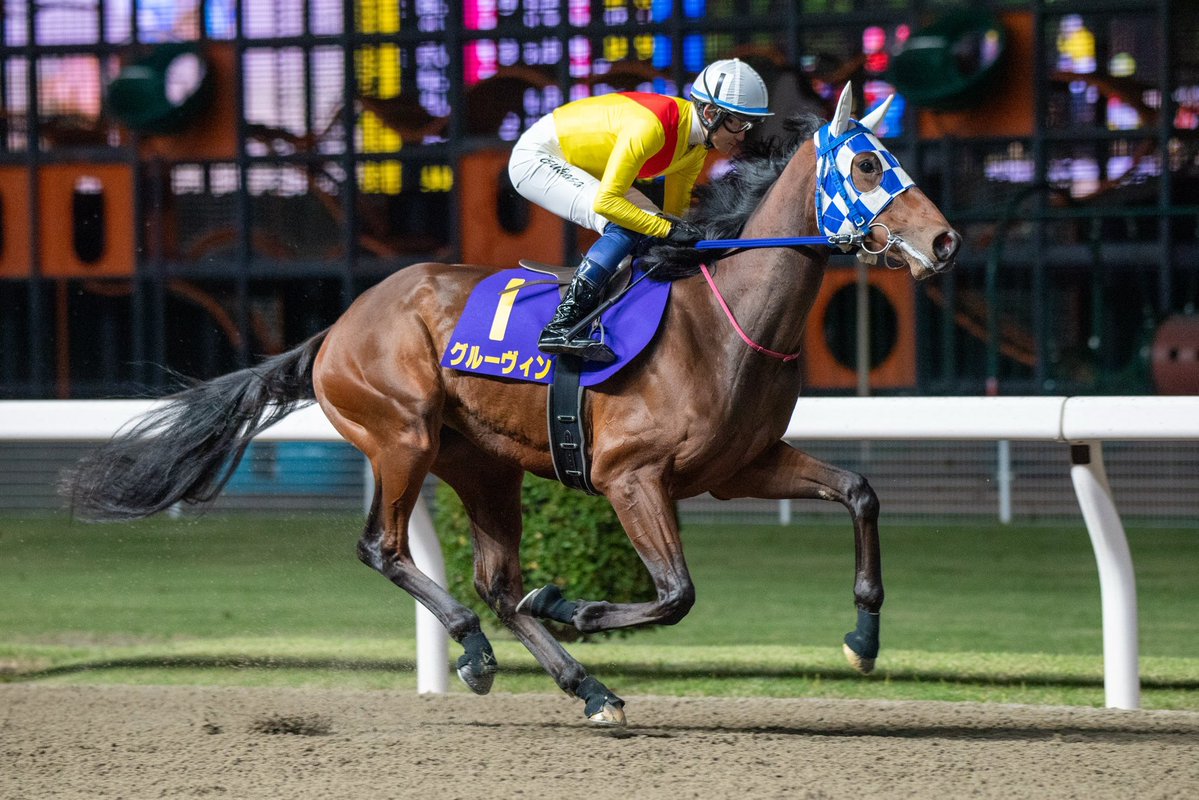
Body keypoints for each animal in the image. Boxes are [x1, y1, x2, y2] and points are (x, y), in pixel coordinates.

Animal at [63, 84, 959, 726]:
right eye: (869, 167)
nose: (945, 242)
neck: (720, 318)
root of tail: (338, 327)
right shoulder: (631, 475)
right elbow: (675, 594)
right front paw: (573, 605)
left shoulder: (742, 467)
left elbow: (859, 493)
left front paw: (862, 640)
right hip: (402, 435)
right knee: (384, 549)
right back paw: (476, 650)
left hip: (483, 465)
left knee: (496, 581)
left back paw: (584, 686)